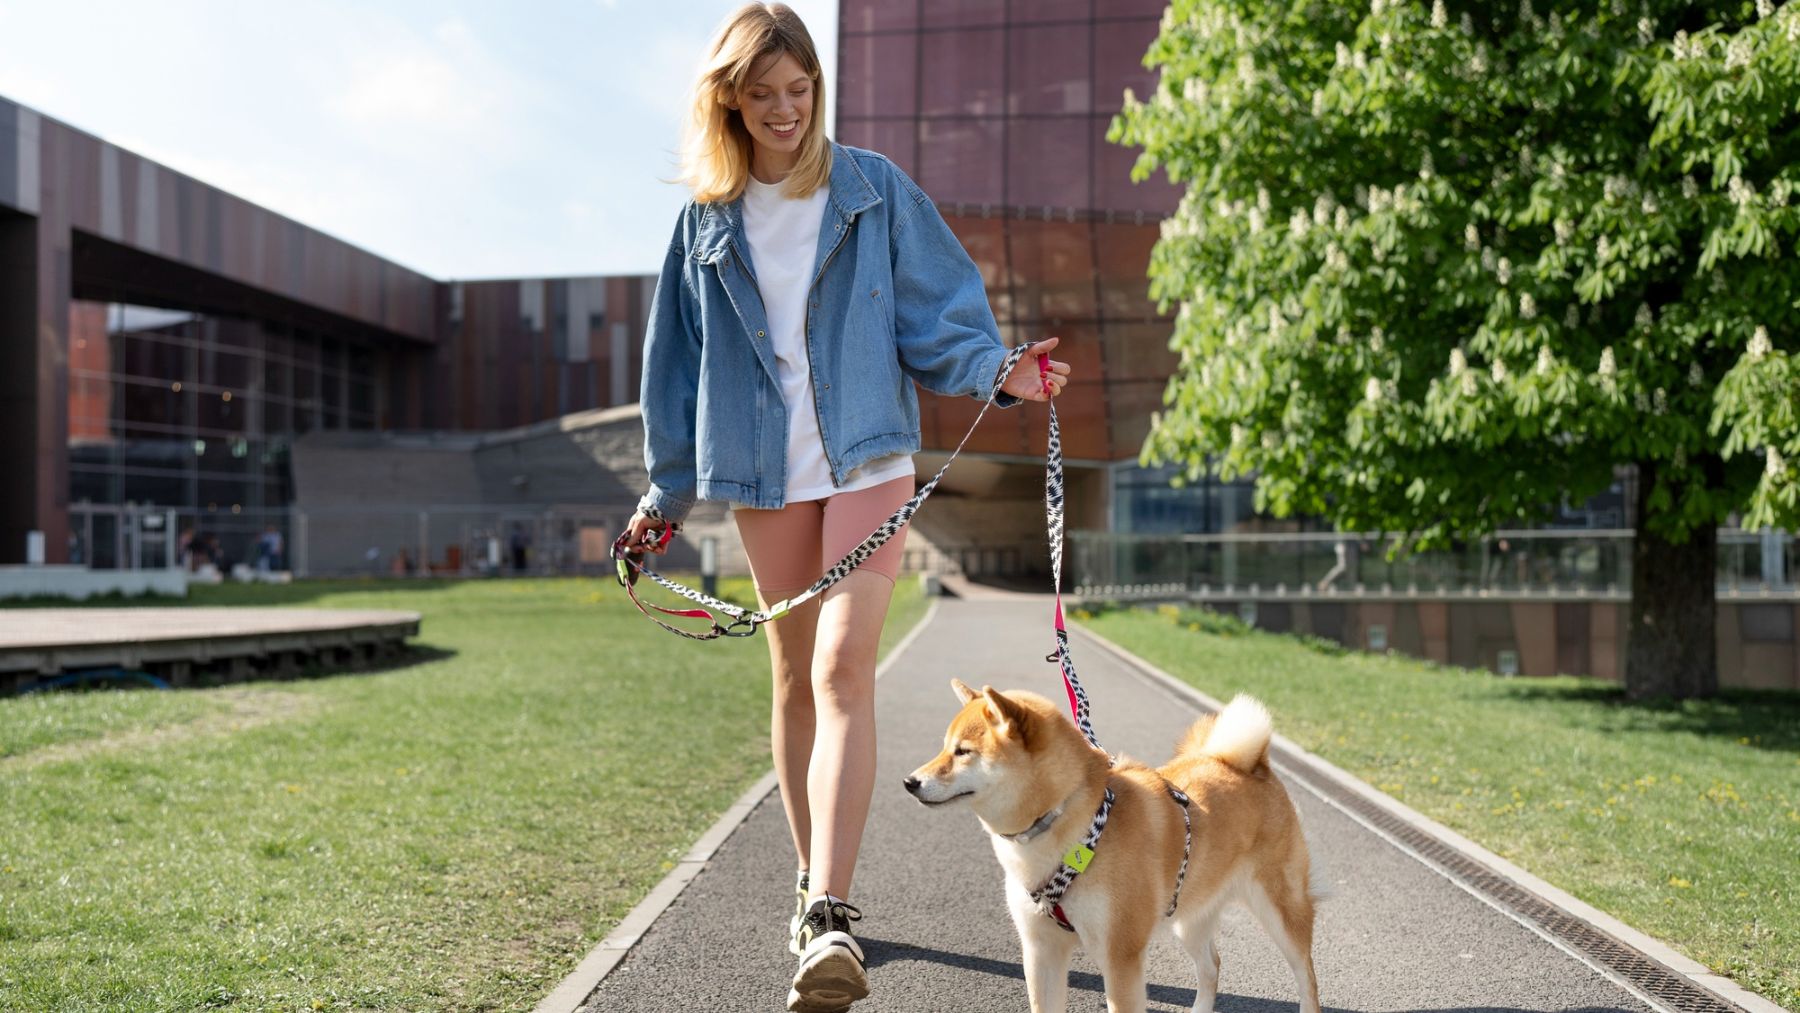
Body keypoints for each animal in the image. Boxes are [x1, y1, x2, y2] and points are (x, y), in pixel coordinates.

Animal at [907, 680, 1317, 1013]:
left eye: (963, 752)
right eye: (944, 747)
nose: (910, 781)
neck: (1072, 822)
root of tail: (1251, 764)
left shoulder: (1120, 957)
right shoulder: (1040, 951)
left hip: (1282, 911)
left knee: (1306, 978)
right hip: (1190, 915)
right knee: (1212, 966)